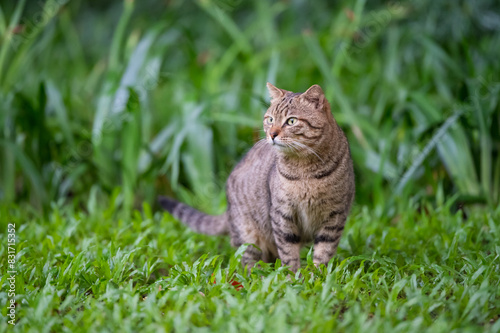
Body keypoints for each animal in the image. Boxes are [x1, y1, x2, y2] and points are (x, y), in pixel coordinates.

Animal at [158, 82, 354, 270]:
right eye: (270, 119)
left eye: (291, 121)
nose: (272, 134)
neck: (305, 171)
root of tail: (228, 210)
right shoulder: (282, 214)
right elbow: (288, 252)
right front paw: (293, 276)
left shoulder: (335, 215)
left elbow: (324, 252)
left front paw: (318, 275)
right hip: (249, 235)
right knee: (247, 262)